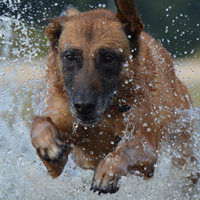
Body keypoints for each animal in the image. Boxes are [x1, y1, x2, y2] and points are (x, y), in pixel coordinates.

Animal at [30, 0, 195, 194]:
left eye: (108, 58)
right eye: (70, 57)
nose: (83, 106)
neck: (104, 118)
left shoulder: (147, 151)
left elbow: (125, 149)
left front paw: (107, 171)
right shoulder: (56, 163)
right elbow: (39, 122)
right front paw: (46, 141)